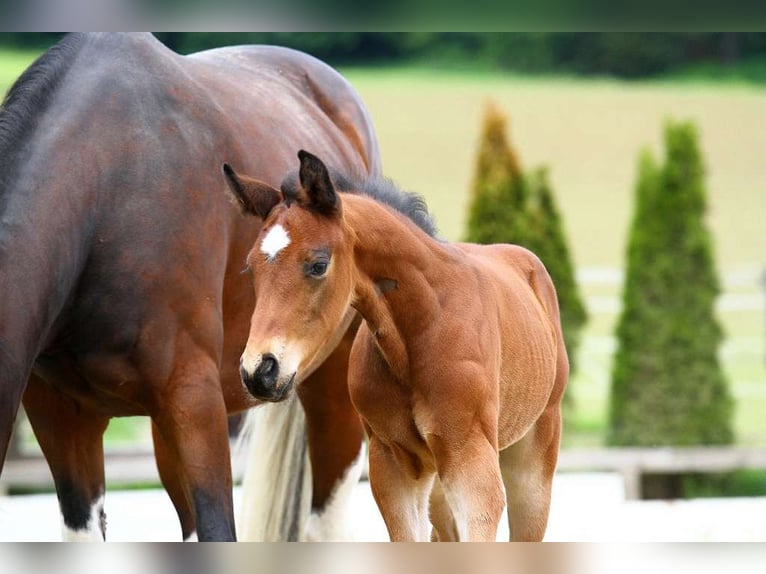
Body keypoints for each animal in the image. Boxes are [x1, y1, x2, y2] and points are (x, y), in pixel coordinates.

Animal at [222, 150, 569, 541]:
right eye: (250, 269)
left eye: (318, 264)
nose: (260, 370)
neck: (423, 329)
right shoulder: (393, 466)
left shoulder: (471, 462)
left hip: (533, 464)